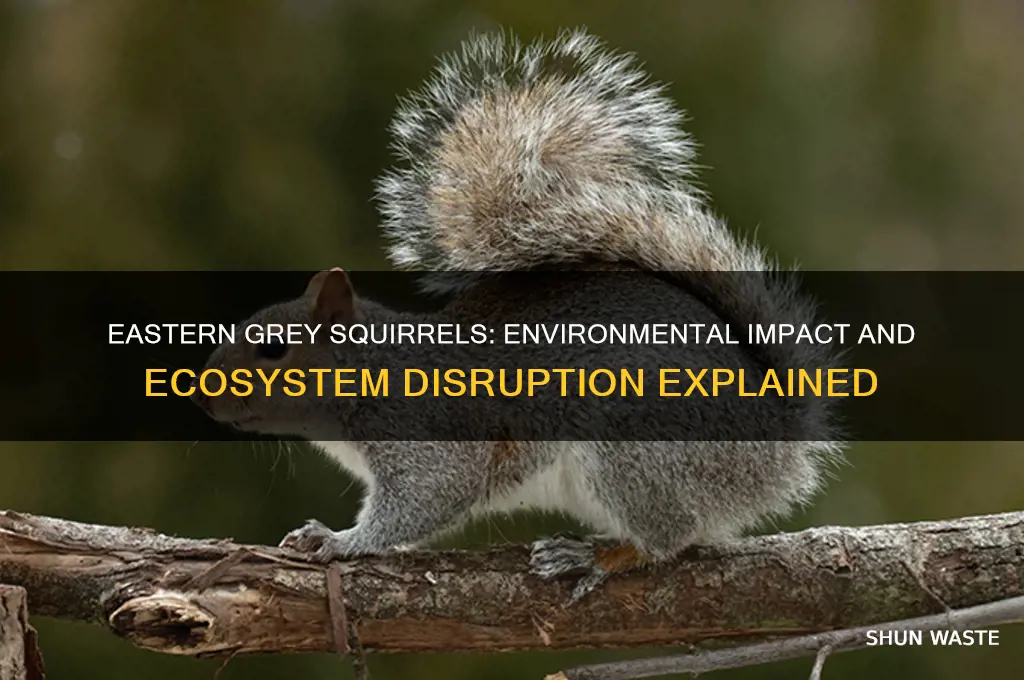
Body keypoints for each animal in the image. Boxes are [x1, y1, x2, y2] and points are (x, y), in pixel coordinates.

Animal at [194, 29, 842, 600]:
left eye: (273, 347)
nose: (205, 399)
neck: (372, 371)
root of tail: (776, 443)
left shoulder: (430, 436)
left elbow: (420, 503)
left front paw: (343, 540)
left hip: (637, 447)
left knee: (667, 538)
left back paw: (599, 555)